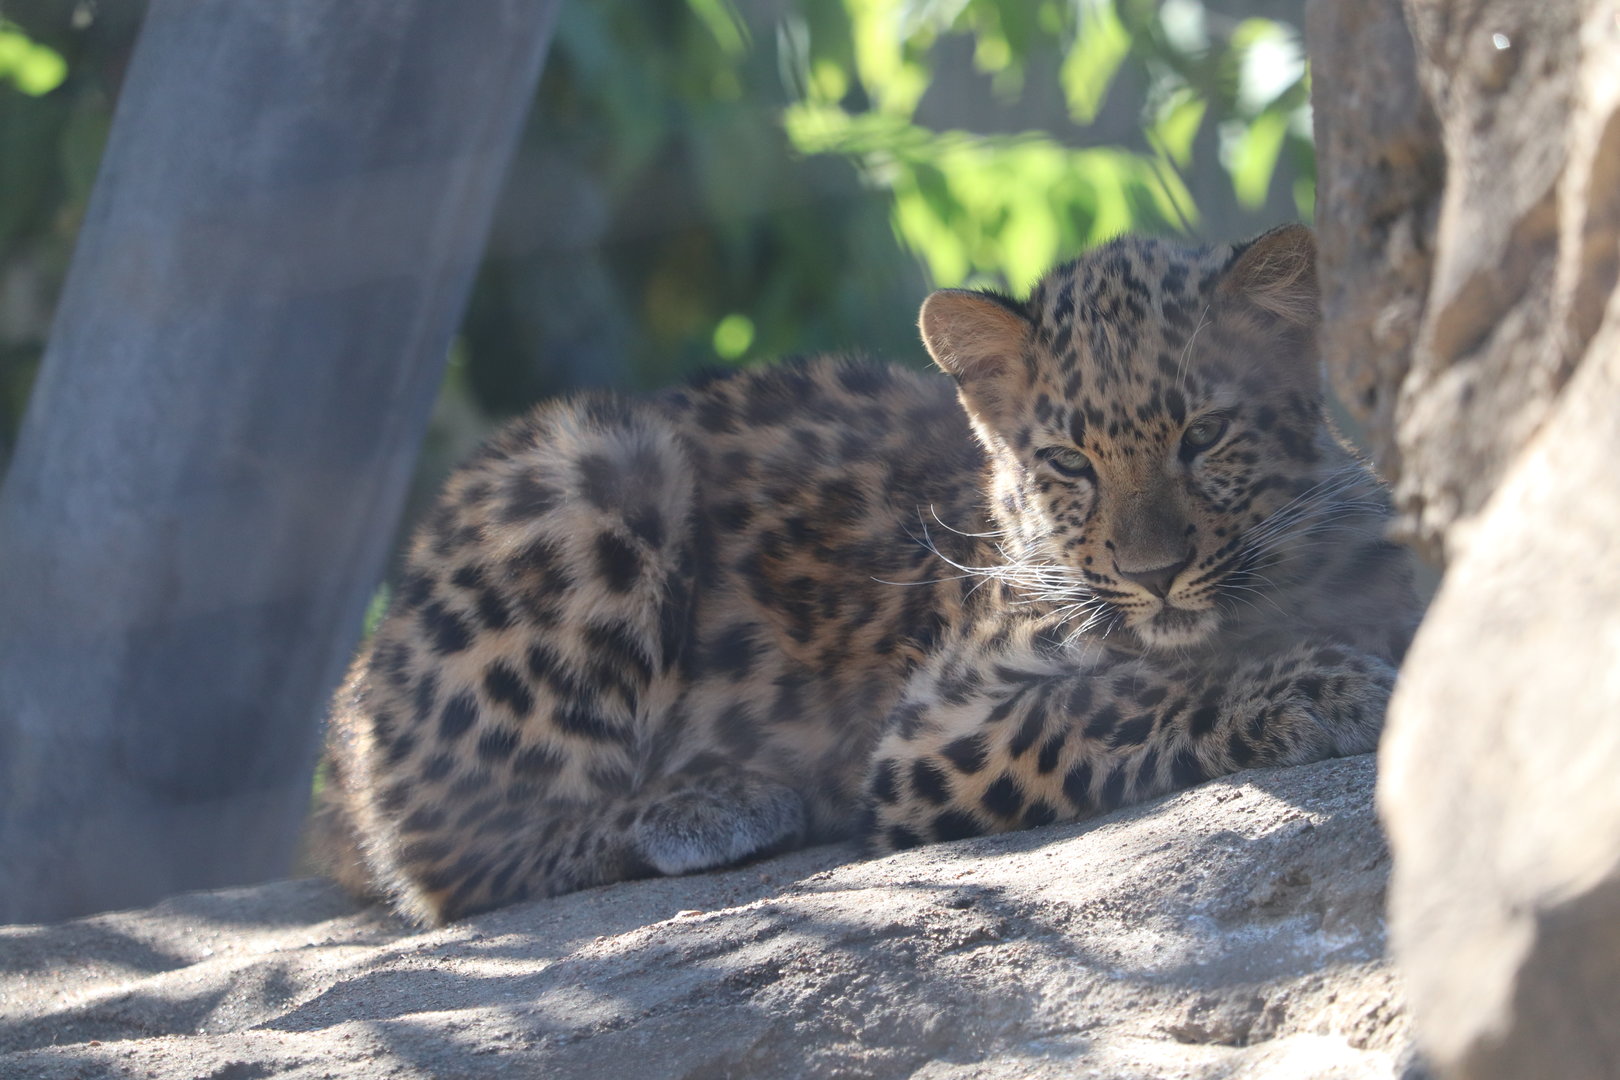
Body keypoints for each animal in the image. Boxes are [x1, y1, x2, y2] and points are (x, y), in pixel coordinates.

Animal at [311, 224, 1422, 926]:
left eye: (1205, 436)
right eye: (1069, 464)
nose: (1155, 575)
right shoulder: (939, 728)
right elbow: (1133, 690)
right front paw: (1314, 687)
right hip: (592, 464)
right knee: (445, 858)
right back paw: (709, 806)